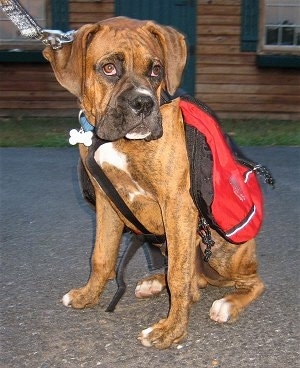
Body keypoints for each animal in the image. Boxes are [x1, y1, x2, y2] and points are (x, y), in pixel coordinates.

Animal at [43, 17, 264, 350]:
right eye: (109, 68)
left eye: (156, 70)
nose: (143, 103)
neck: (120, 141)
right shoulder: (107, 203)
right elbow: (101, 256)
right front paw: (88, 296)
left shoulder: (176, 203)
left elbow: (179, 275)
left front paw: (171, 331)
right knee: (193, 280)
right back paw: (153, 283)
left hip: (221, 248)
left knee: (250, 282)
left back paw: (227, 304)